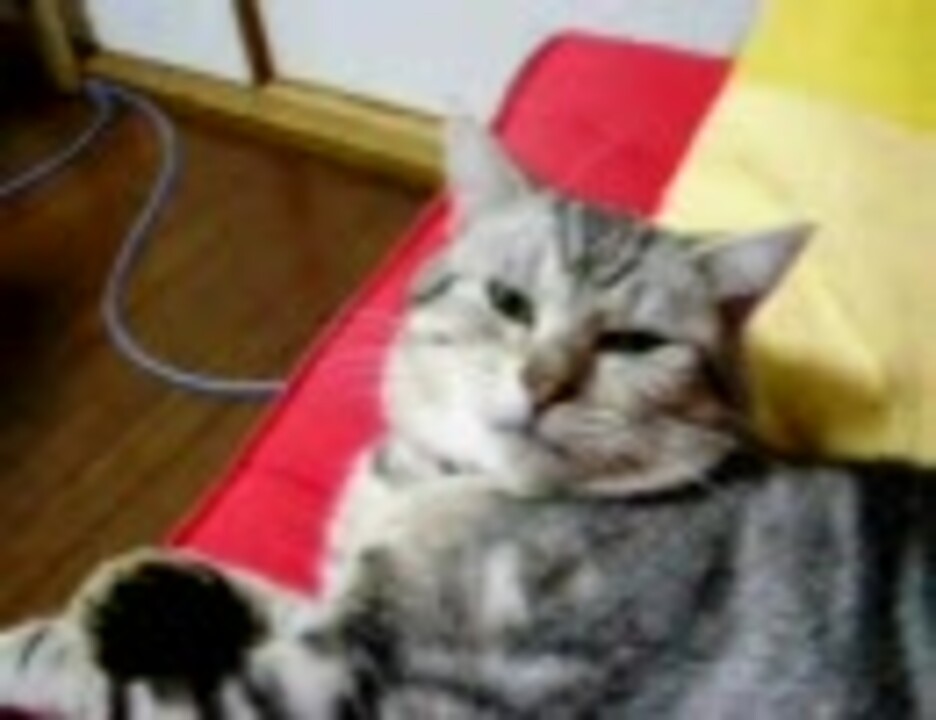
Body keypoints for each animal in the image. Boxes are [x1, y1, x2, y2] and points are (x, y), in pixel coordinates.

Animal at [1, 119, 935, 719]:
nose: (544, 382)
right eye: (510, 303)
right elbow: (263, 600)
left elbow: (131, 690)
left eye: (635, 344)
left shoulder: (375, 691)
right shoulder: (343, 619)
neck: (436, 486)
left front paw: (42, 649)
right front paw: (150, 590)